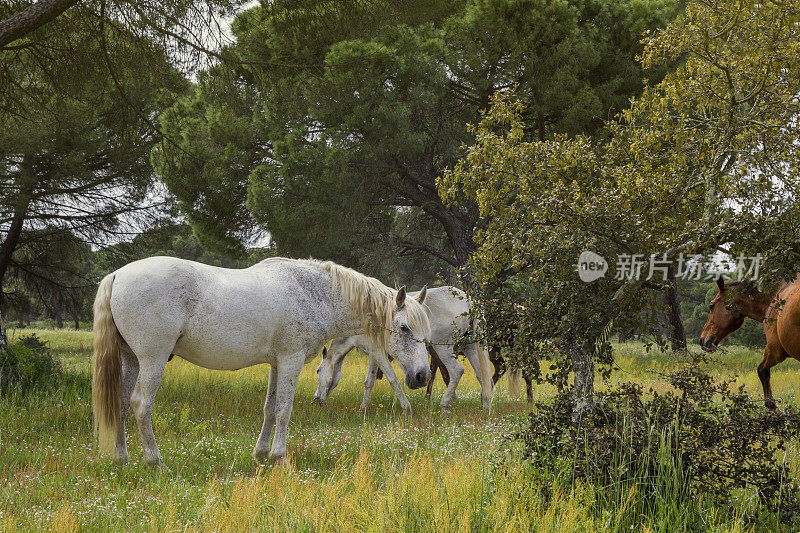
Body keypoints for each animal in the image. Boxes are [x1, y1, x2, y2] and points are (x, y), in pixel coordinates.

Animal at [91, 256, 432, 468]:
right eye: (405, 328)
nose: (422, 376)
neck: (314, 293)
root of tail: (117, 275)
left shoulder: (276, 363)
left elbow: (269, 409)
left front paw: (261, 454)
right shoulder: (291, 359)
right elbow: (283, 410)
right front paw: (280, 457)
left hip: (131, 360)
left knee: (121, 404)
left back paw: (122, 459)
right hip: (153, 359)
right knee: (141, 405)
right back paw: (155, 461)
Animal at [314, 286, 494, 412]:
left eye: (317, 370)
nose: (317, 400)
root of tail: (468, 300)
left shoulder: (378, 353)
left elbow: (392, 380)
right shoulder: (374, 355)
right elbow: (369, 382)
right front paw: (363, 408)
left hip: (443, 349)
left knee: (457, 371)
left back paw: (444, 406)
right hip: (470, 347)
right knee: (483, 377)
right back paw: (486, 408)